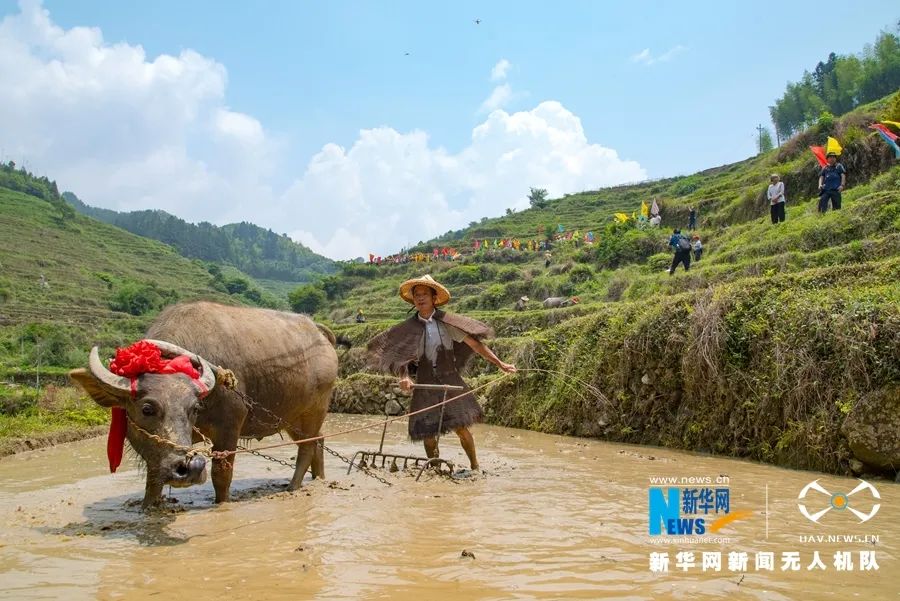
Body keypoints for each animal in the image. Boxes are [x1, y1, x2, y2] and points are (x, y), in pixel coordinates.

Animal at [68, 300, 340, 506]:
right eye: (147, 408)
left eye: (194, 408)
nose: (191, 467)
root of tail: (319, 333)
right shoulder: (154, 452)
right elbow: (153, 481)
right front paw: (148, 508)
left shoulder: (229, 427)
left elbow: (221, 475)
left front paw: (222, 504)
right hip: (291, 418)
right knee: (318, 442)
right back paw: (319, 479)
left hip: (314, 410)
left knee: (307, 447)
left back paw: (293, 487)